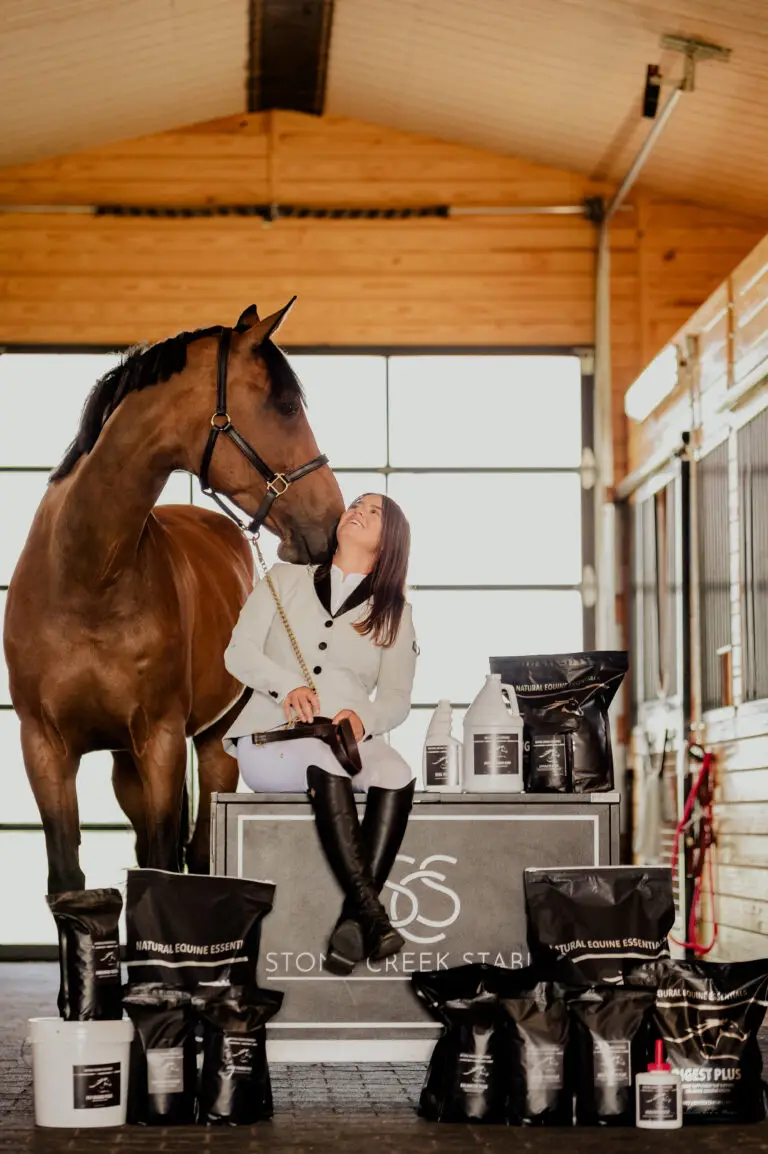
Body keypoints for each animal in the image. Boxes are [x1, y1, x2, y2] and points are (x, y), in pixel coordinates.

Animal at [2, 299, 344, 894]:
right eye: (284, 405)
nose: (333, 520)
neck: (86, 578)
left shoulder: (161, 741)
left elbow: (166, 862)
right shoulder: (44, 749)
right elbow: (69, 879)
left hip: (211, 746)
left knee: (200, 850)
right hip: (124, 763)